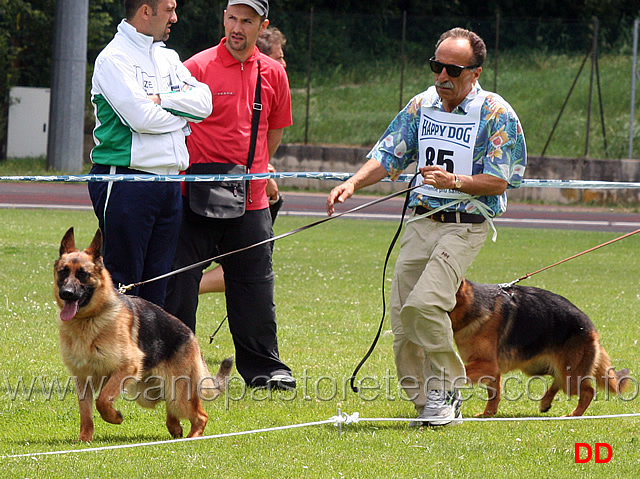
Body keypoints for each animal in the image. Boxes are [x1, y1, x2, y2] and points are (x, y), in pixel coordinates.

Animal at [53, 229, 232, 442]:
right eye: (63, 272)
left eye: (83, 274)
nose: (66, 293)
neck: (89, 319)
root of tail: (190, 334)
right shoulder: (81, 378)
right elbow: (86, 413)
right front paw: (84, 439)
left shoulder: (126, 367)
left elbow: (102, 400)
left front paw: (114, 417)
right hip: (148, 394)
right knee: (172, 411)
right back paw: (175, 429)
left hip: (179, 393)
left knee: (201, 416)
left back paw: (192, 436)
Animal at [450, 280, 632, 418]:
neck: (470, 306)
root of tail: (592, 330)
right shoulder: (491, 369)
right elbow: (494, 393)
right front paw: (488, 414)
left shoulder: (487, 365)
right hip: (548, 369)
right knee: (558, 380)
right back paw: (546, 402)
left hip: (570, 378)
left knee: (588, 391)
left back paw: (574, 415)